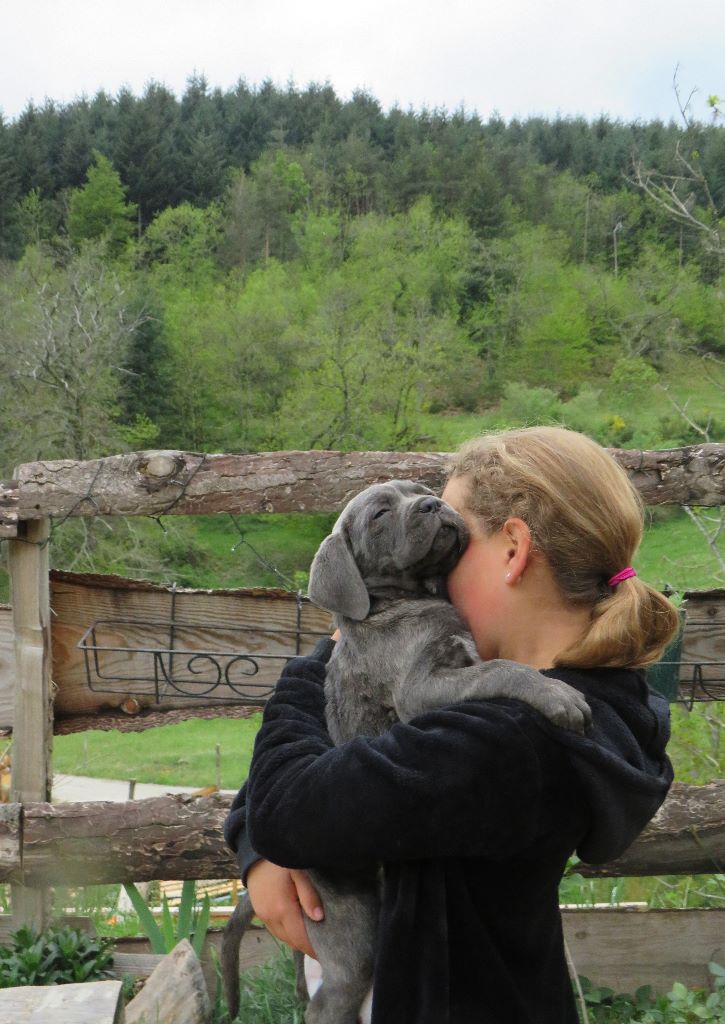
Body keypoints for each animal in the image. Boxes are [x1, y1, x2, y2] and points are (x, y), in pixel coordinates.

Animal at [223, 481, 593, 1024]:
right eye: (380, 515)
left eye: (421, 491)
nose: (434, 506)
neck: (411, 600)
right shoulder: (421, 688)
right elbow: (500, 668)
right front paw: (556, 694)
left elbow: (490, 663)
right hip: (352, 932)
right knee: (329, 999)